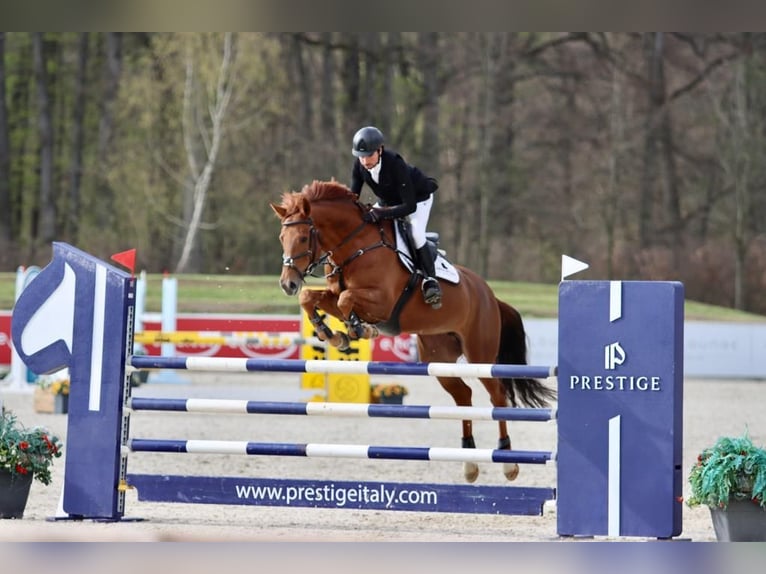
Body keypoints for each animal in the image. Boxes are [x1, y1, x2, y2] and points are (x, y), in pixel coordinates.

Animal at [272, 180, 560, 486]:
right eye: (282, 237)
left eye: (304, 238)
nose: (287, 284)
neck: (354, 246)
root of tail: (490, 295)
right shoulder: (335, 293)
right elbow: (312, 298)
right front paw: (332, 334)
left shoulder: (381, 301)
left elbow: (345, 300)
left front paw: (358, 329)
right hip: (439, 357)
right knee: (463, 396)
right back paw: (469, 463)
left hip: (481, 354)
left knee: (497, 396)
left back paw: (507, 462)